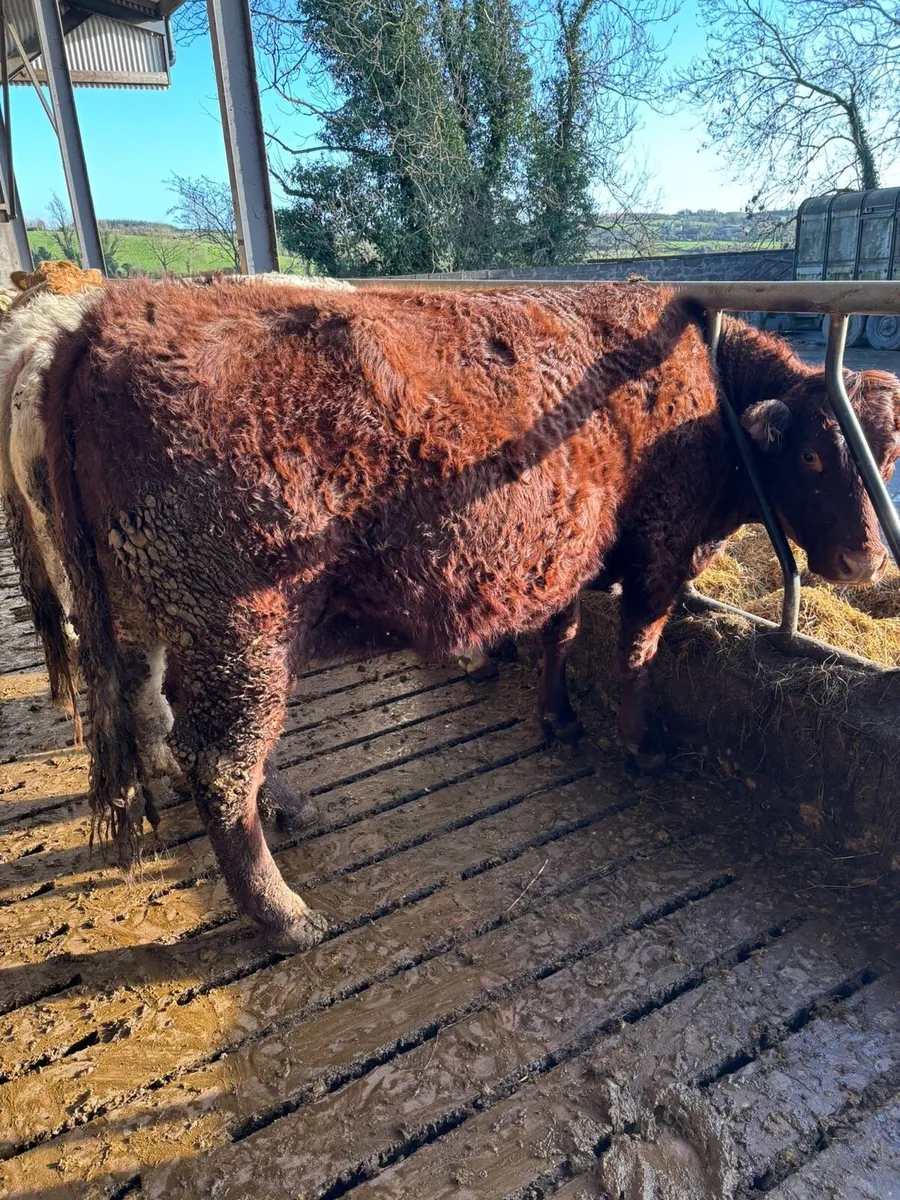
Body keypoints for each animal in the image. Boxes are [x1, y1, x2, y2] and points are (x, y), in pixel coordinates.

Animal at [40, 279, 900, 948]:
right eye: (814, 457)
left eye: (885, 458)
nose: (866, 562)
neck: (707, 390)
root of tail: (109, 319)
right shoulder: (660, 555)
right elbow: (636, 654)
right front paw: (640, 745)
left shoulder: (571, 551)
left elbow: (561, 634)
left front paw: (559, 717)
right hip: (242, 629)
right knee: (220, 763)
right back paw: (287, 918)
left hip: (180, 633)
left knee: (188, 733)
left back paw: (285, 807)